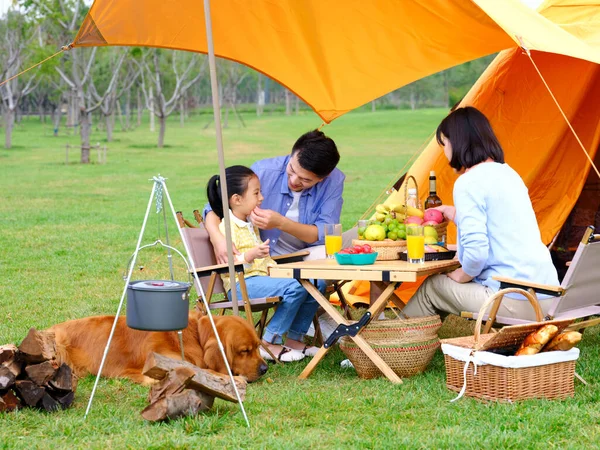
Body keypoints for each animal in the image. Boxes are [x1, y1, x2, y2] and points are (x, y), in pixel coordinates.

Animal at [50, 312, 266, 384]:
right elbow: (206, 372)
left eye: (258, 346)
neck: (195, 335)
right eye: (245, 350)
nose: (265, 368)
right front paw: (233, 379)